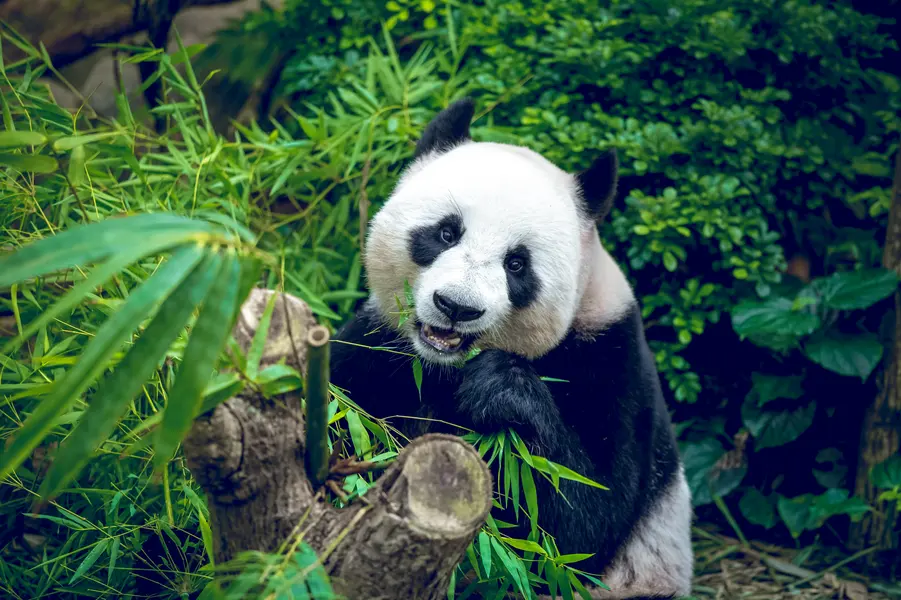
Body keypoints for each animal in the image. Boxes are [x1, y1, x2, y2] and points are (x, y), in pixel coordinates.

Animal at [329, 98, 694, 600]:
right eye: (447, 233)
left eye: (517, 264)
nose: (456, 307)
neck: (443, 367)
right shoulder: (377, 345)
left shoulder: (611, 359)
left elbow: (578, 527)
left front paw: (499, 390)